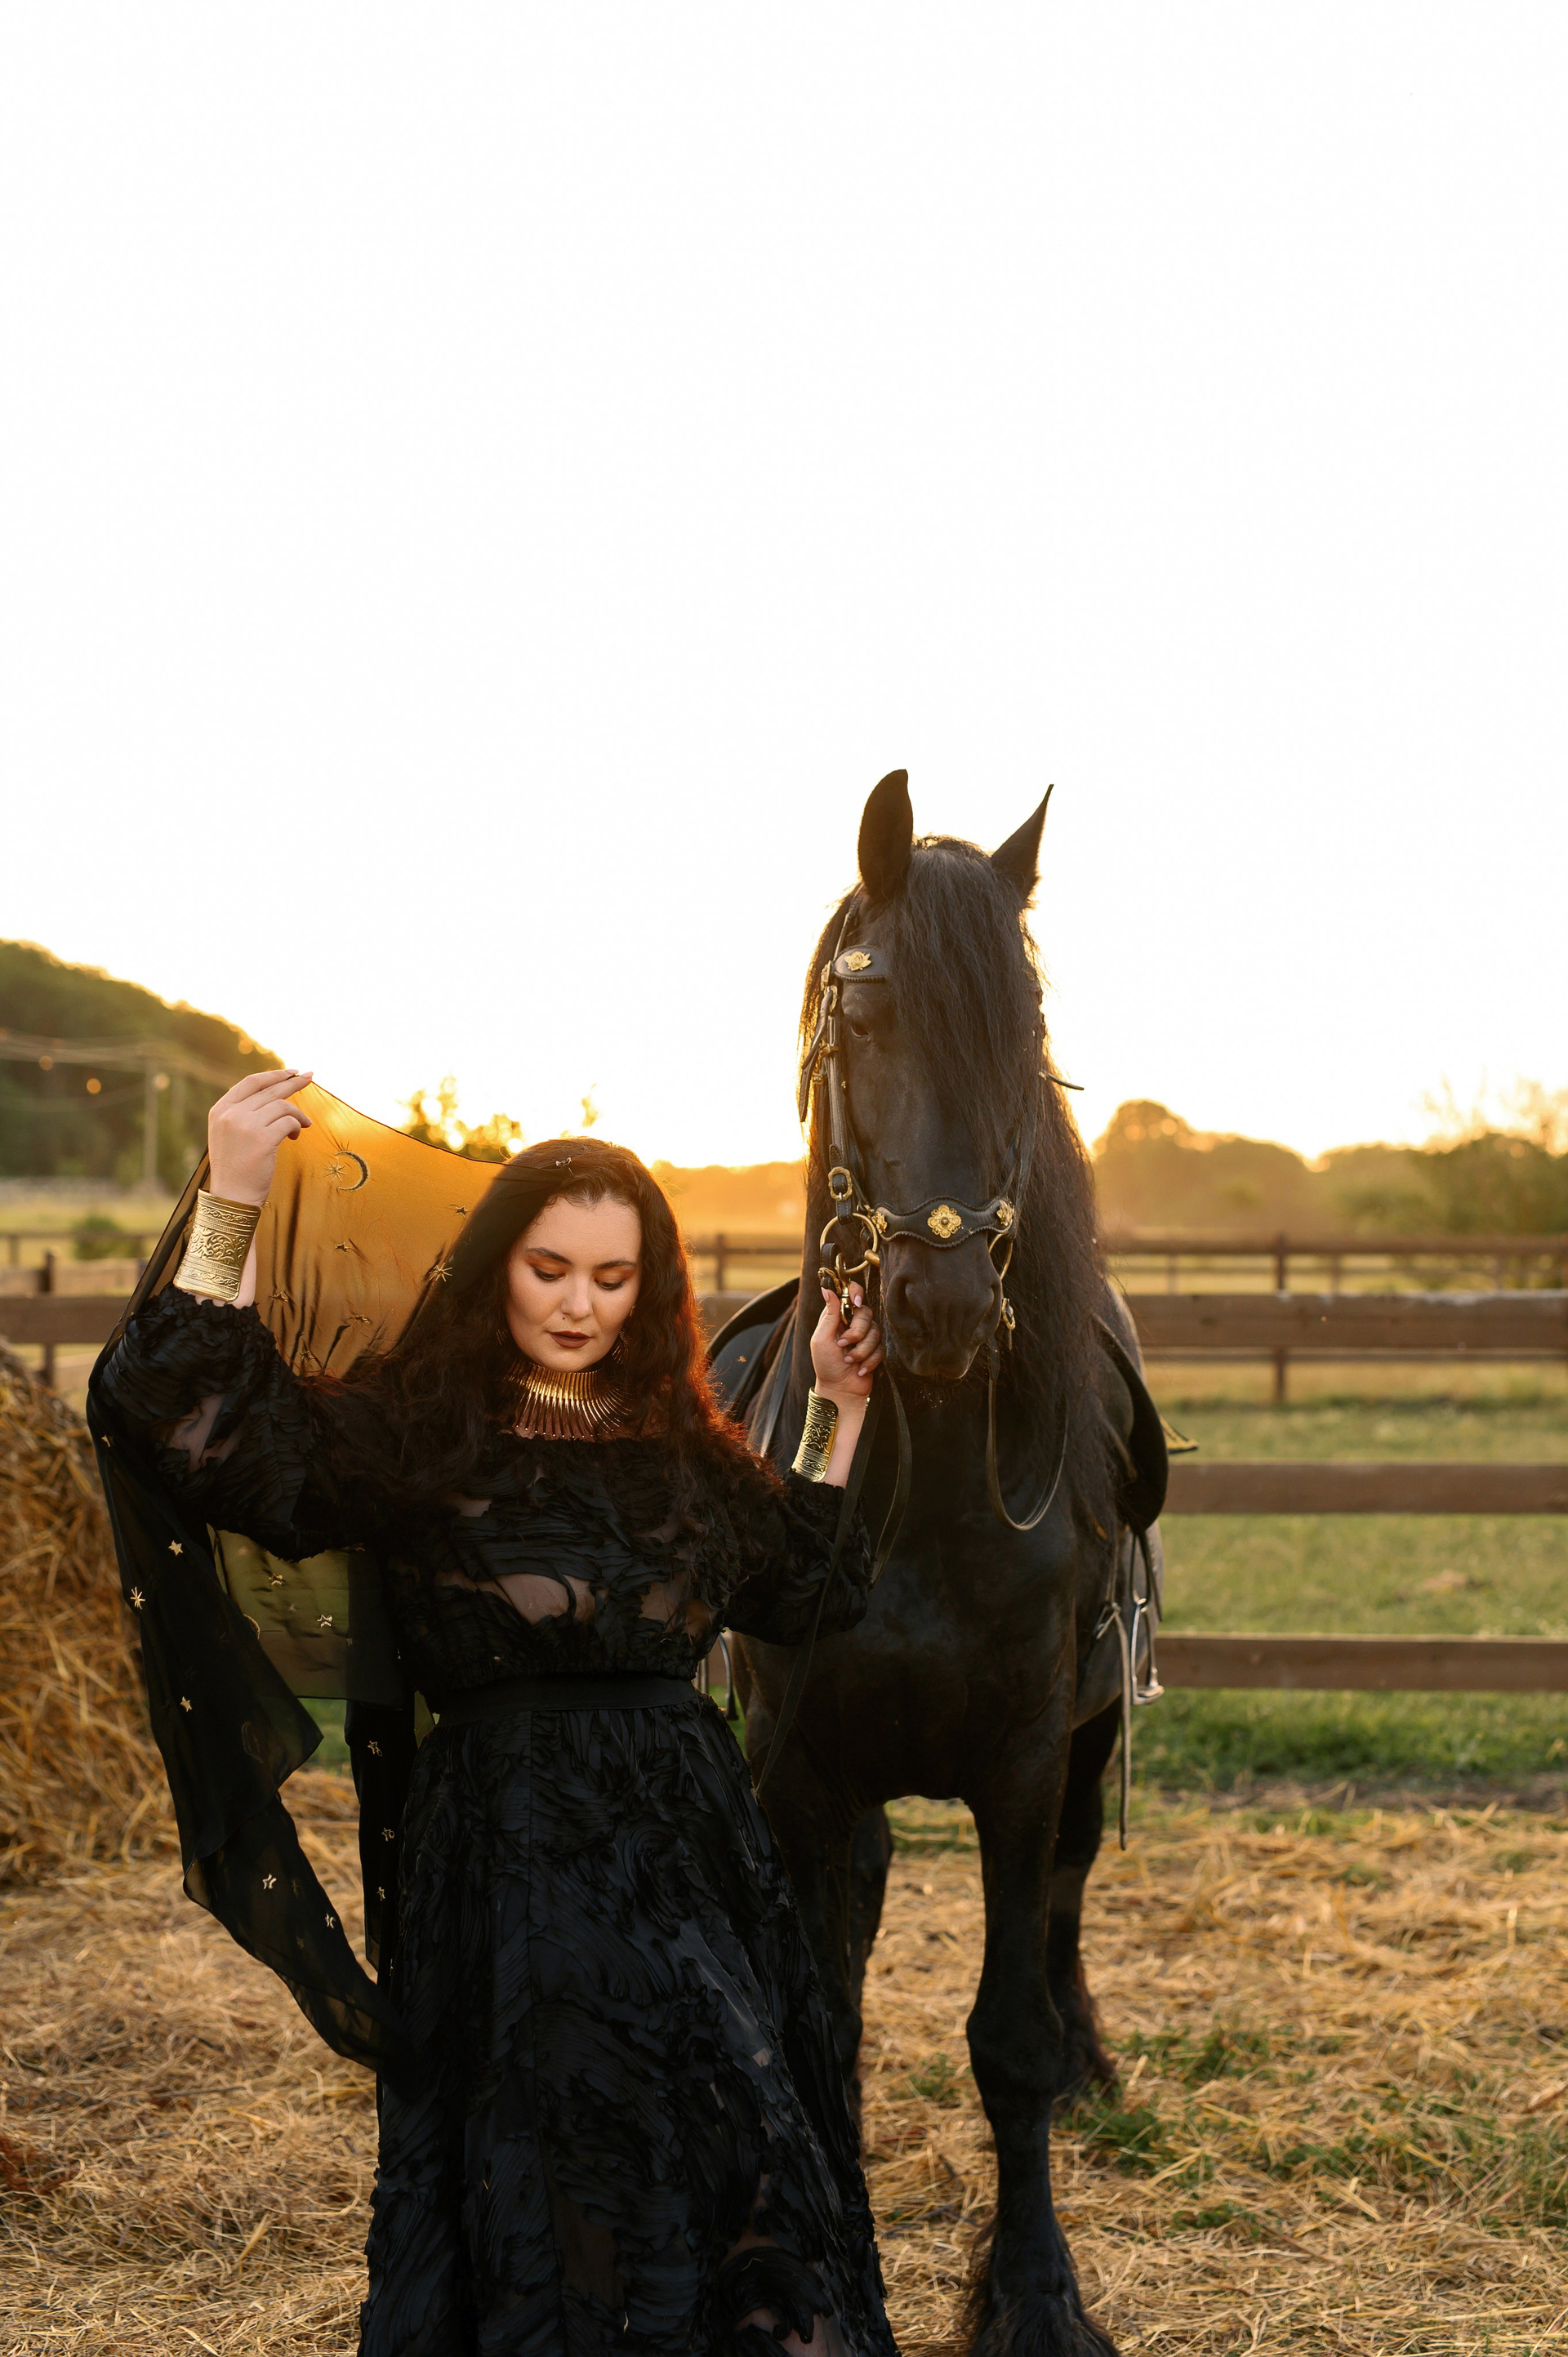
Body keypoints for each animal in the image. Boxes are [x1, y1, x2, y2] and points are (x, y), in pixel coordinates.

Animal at [710, 771, 1168, 2357]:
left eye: (1023, 1035)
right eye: (863, 1021)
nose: (944, 1305)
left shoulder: (1023, 1762)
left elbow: (1007, 2037)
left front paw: (1036, 2294)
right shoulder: (798, 1769)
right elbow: (822, 2026)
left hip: (1088, 1747)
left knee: (1070, 1897)